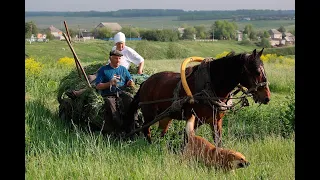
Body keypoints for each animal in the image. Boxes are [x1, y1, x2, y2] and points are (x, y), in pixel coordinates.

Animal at [124, 48, 270, 147]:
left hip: (166, 116)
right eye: (257, 71)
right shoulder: (195, 120)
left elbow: (218, 141)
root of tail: (145, 83)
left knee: (161, 131)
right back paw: (149, 144)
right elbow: (187, 140)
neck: (210, 85)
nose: (267, 97)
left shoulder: (216, 121)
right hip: (149, 114)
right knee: (146, 129)